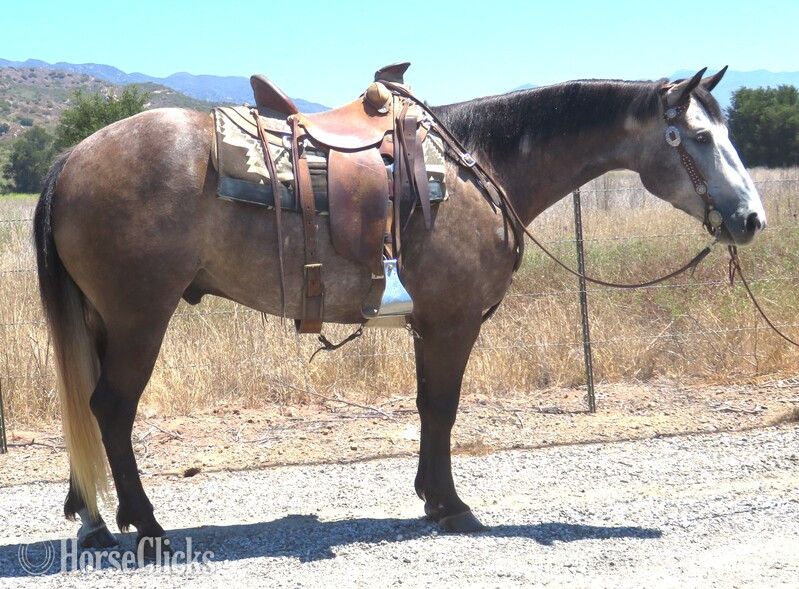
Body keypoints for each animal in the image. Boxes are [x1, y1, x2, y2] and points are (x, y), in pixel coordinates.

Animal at [34, 67, 765, 555]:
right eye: (697, 137)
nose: (750, 219)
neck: (477, 165)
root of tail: (71, 156)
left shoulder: (426, 323)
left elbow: (425, 408)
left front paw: (430, 497)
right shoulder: (452, 323)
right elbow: (442, 408)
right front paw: (452, 506)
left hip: (101, 320)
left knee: (91, 409)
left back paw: (91, 517)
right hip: (139, 319)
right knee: (111, 408)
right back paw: (146, 525)